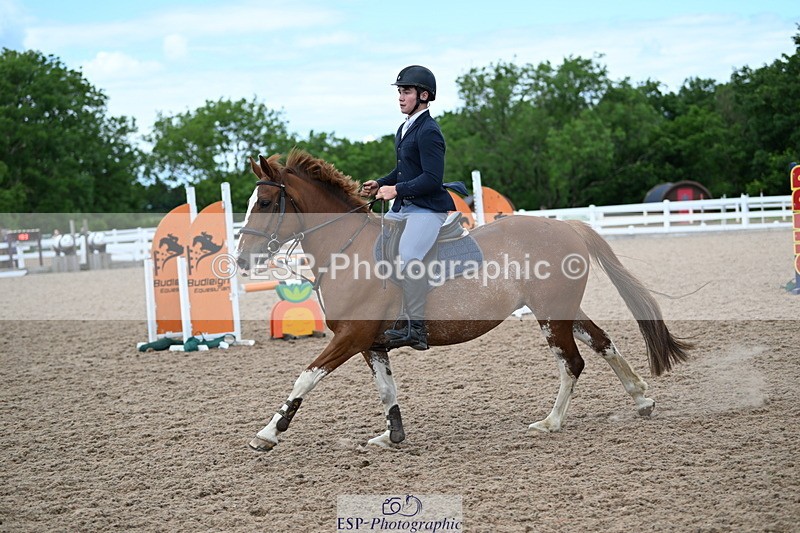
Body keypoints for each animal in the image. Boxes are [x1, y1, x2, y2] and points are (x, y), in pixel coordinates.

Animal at [236, 149, 691, 452]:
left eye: (264, 203)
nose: (241, 259)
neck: (348, 250)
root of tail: (568, 227)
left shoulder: (351, 337)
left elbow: (306, 376)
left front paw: (268, 433)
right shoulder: (371, 344)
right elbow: (386, 389)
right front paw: (393, 435)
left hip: (549, 315)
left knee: (572, 362)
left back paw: (551, 422)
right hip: (561, 310)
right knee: (602, 343)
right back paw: (641, 398)